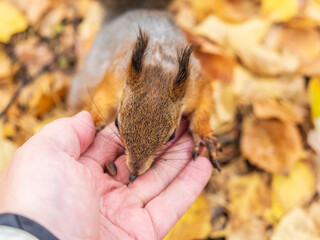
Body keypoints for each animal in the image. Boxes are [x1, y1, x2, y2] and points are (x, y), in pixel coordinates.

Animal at [66, 0, 219, 181]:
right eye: (116, 123)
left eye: (172, 136)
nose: (135, 170)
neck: (159, 65)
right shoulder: (116, 76)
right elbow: (102, 96)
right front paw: (95, 121)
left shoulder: (195, 86)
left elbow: (205, 101)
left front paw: (203, 136)